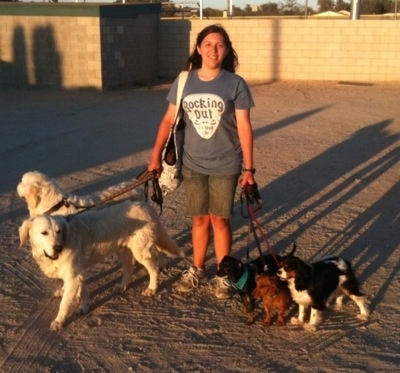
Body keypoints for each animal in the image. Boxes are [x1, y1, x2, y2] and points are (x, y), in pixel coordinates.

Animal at [18, 199, 181, 330]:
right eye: (44, 233)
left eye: (58, 231)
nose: (58, 248)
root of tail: (146, 206)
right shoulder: (78, 273)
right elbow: (83, 291)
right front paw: (84, 306)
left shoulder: (73, 276)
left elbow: (64, 304)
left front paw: (59, 321)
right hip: (123, 250)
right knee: (130, 266)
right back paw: (122, 286)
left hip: (139, 251)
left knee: (153, 268)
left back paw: (152, 287)